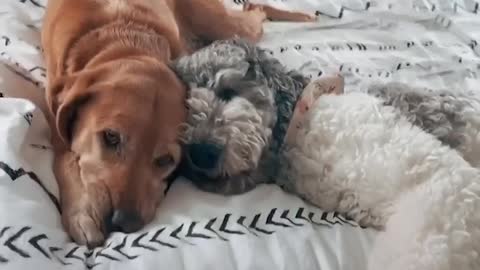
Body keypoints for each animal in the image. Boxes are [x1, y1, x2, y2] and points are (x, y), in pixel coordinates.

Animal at [42, 0, 316, 247]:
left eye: (166, 160)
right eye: (110, 137)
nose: (123, 222)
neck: (124, 41)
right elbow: (66, 161)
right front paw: (82, 213)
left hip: (222, 24)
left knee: (255, 12)